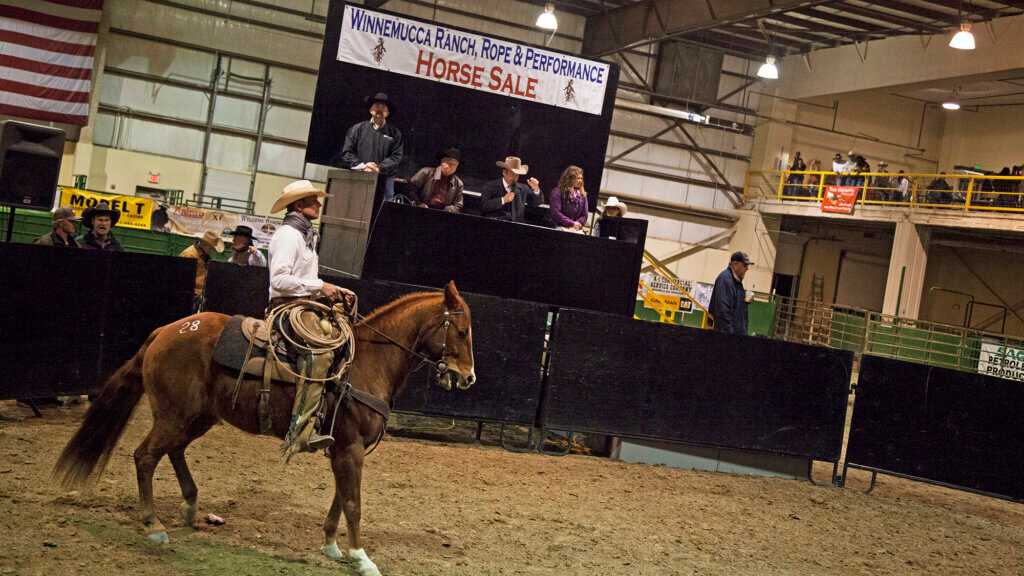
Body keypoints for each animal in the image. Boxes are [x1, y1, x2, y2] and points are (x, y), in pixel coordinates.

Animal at [52, 280, 475, 569]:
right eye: (462, 330)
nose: (468, 378)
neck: (370, 363)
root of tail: (165, 331)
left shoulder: (343, 448)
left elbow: (340, 499)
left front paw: (332, 546)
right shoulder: (351, 448)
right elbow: (353, 503)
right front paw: (362, 558)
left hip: (200, 416)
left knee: (173, 451)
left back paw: (189, 506)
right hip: (174, 414)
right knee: (145, 456)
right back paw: (155, 525)